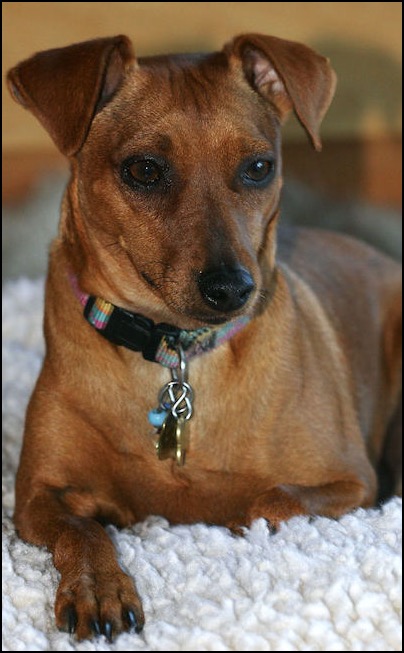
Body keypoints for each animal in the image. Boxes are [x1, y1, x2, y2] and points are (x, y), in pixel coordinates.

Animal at [6, 33, 400, 640]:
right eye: (145, 170)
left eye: (258, 167)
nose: (232, 288)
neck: (176, 353)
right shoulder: (36, 498)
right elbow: (84, 530)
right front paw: (99, 587)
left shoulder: (350, 482)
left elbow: (269, 502)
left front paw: (234, 523)